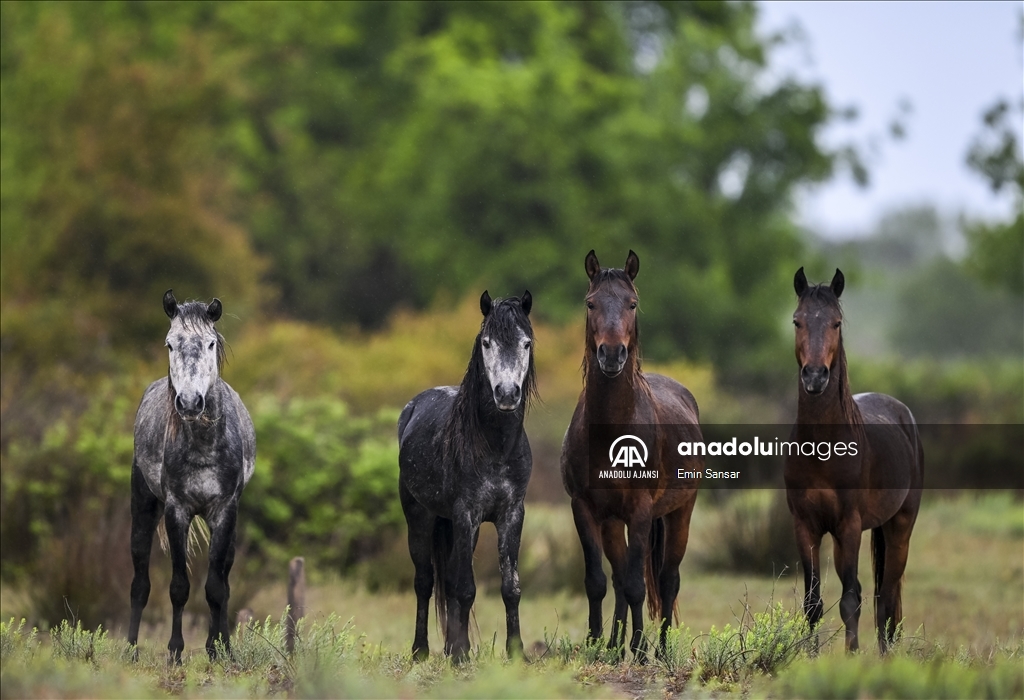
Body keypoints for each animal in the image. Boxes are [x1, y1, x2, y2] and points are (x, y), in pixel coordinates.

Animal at [127, 290, 256, 663]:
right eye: (170, 344)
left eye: (211, 343)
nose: (188, 402)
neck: (203, 445)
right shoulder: (177, 510)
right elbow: (179, 587)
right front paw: (175, 652)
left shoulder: (225, 512)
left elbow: (216, 587)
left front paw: (221, 650)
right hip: (143, 507)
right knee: (139, 582)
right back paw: (130, 648)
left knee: (223, 579)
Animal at [398, 291, 536, 662]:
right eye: (486, 343)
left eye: (526, 343)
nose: (507, 393)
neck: (495, 446)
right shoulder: (466, 513)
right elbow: (465, 587)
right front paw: (460, 655)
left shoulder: (511, 514)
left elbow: (511, 587)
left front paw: (516, 652)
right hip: (420, 516)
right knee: (425, 581)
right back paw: (421, 649)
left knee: (448, 576)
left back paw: (449, 647)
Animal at [560, 250, 702, 661]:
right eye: (591, 303)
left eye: (632, 303)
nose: (611, 354)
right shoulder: (584, 508)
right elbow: (598, 580)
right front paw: (595, 644)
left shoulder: (640, 510)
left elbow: (640, 584)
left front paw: (639, 649)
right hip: (612, 522)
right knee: (621, 574)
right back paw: (613, 644)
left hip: (680, 513)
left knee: (668, 579)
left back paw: (661, 649)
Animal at [786, 267, 924, 653]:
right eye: (797, 321)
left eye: (835, 323)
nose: (815, 376)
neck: (822, 449)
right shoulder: (805, 525)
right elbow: (813, 602)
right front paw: (810, 658)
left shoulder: (849, 526)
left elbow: (851, 600)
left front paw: (851, 658)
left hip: (900, 526)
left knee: (886, 598)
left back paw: (887, 656)